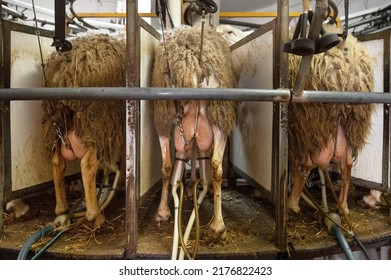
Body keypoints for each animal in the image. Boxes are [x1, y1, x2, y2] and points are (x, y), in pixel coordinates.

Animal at [41, 32, 125, 228]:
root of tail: (66, 66)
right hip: (97, 117)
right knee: (87, 165)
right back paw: (95, 215)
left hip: (55, 119)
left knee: (57, 161)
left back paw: (62, 208)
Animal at [152, 24, 239, 240]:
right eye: (231, 32)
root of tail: (189, 58)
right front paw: (198, 188)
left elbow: (191, 155)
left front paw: (192, 186)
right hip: (220, 113)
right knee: (216, 167)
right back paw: (218, 225)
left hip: (163, 113)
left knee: (167, 166)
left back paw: (162, 212)